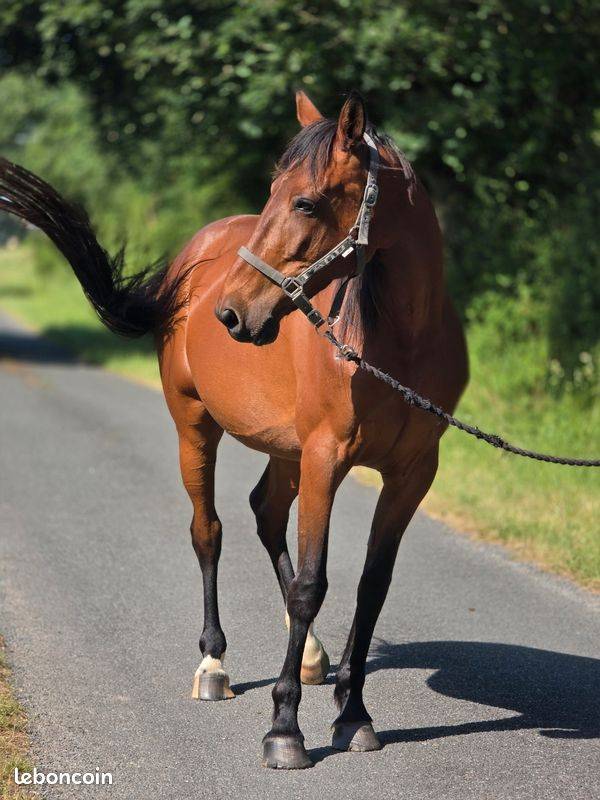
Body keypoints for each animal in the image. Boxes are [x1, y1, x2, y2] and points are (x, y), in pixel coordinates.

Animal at [0, 90, 468, 769]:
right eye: (274, 191)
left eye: (306, 202)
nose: (231, 313)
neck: (398, 340)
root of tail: (194, 257)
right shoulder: (326, 460)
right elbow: (310, 585)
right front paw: (284, 730)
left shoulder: (411, 474)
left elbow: (371, 587)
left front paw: (353, 714)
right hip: (196, 428)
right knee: (209, 532)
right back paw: (214, 665)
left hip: (286, 450)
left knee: (265, 513)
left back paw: (309, 655)